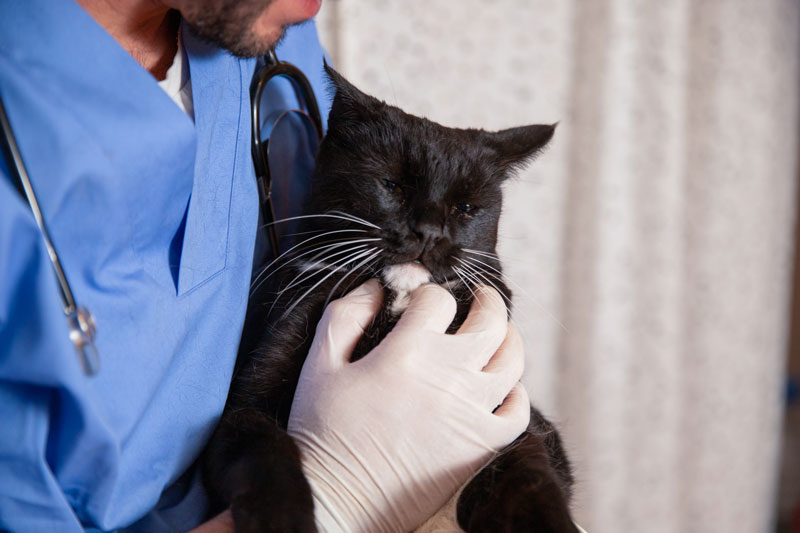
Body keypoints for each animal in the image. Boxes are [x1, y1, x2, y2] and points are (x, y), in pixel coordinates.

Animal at [203, 66, 580, 532]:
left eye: (465, 208)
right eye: (393, 185)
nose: (429, 232)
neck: (401, 298)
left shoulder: (508, 423)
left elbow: (531, 476)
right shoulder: (244, 408)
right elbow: (263, 452)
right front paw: (285, 519)